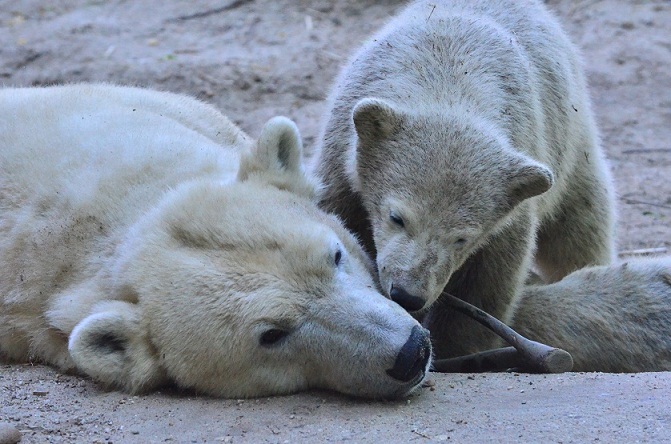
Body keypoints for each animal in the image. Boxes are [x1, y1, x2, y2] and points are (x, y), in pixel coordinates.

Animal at [312, 0, 616, 358]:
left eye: (462, 239)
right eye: (396, 217)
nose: (407, 295)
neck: (448, 77)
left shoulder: (512, 202)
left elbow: (485, 288)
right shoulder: (341, 157)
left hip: (572, 145)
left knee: (580, 226)